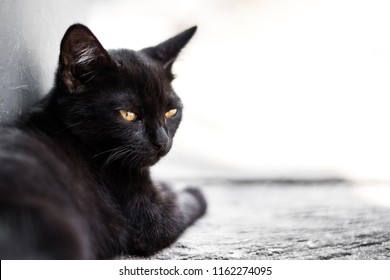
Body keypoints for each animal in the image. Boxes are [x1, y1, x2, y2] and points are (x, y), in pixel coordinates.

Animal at [0, 23, 207, 260]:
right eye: (128, 115)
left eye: (171, 112)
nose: (162, 142)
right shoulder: (154, 220)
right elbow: (183, 206)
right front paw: (192, 191)